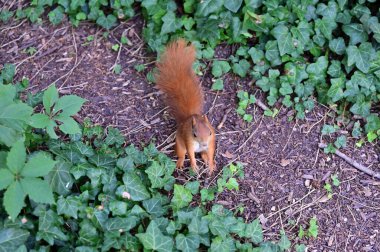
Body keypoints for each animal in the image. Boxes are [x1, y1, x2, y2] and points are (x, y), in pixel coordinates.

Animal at [154, 39, 214, 175]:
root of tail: (188, 117)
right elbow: (190, 154)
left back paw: (206, 159)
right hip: (179, 143)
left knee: (204, 154)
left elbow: (211, 152)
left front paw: (211, 165)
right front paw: (194, 165)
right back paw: (181, 163)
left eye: (209, 132)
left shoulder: (211, 141)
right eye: (194, 134)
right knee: (182, 154)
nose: (204, 144)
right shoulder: (188, 141)